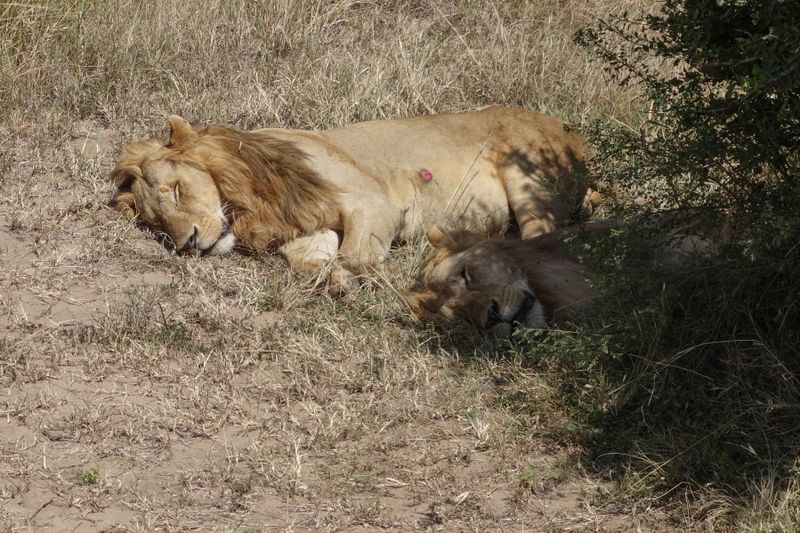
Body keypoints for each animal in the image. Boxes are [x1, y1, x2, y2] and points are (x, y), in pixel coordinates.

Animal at [112, 104, 588, 286]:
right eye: (156, 224)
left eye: (177, 189)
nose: (188, 243)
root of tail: (574, 133)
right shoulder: (306, 228)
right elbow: (306, 264)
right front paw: (329, 279)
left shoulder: (374, 204)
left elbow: (355, 255)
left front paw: (352, 278)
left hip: (526, 177)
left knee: (544, 236)